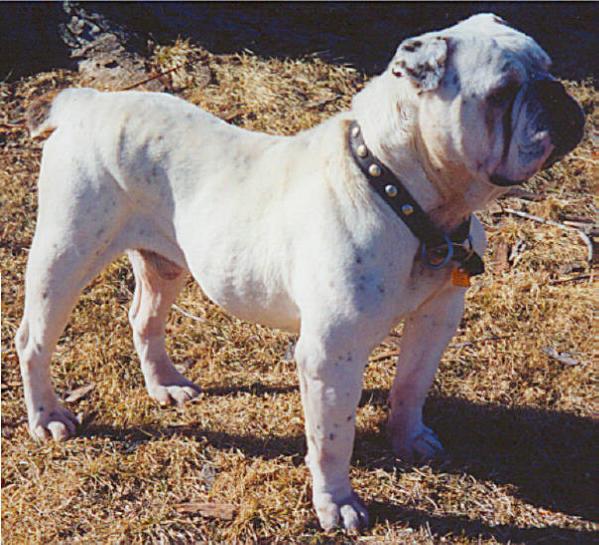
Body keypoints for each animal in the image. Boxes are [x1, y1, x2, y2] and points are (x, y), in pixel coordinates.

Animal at [16, 14, 584, 528]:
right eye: (502, 92)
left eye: (548, 67)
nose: (559, 95)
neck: (402, 190)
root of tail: (88, 101)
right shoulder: (332, 353)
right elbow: (333, 436)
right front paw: (338, 504)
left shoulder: (436, 319)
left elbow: (412, 384)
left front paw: (408, 438)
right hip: (66, 254)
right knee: (33, 339)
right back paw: (49, 418)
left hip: (165, 264)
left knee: (144, 318)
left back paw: (166, 385)